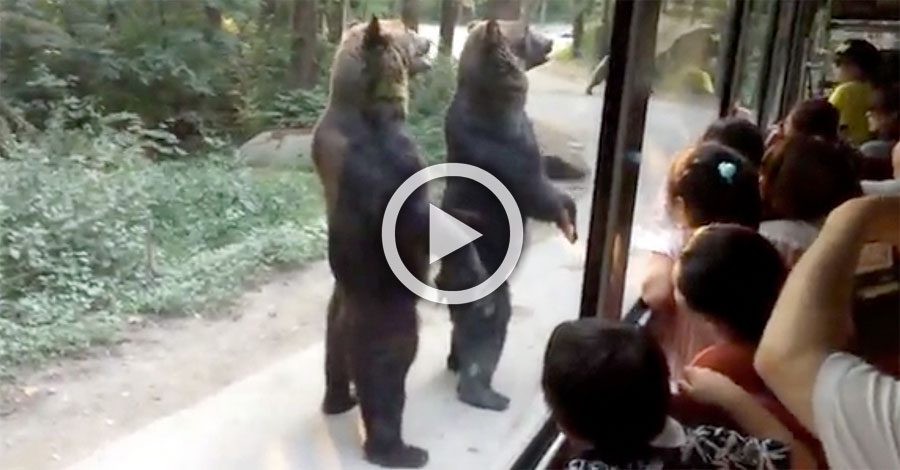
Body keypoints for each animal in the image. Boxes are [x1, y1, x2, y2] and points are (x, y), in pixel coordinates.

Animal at [440, 20, 580, 412]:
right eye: (527, 31)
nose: (551, 41)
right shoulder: (506, 143)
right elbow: (535, 187)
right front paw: (567, 214)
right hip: (483, 275)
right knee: (489, 325)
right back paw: (485, 392)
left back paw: (455, 361)